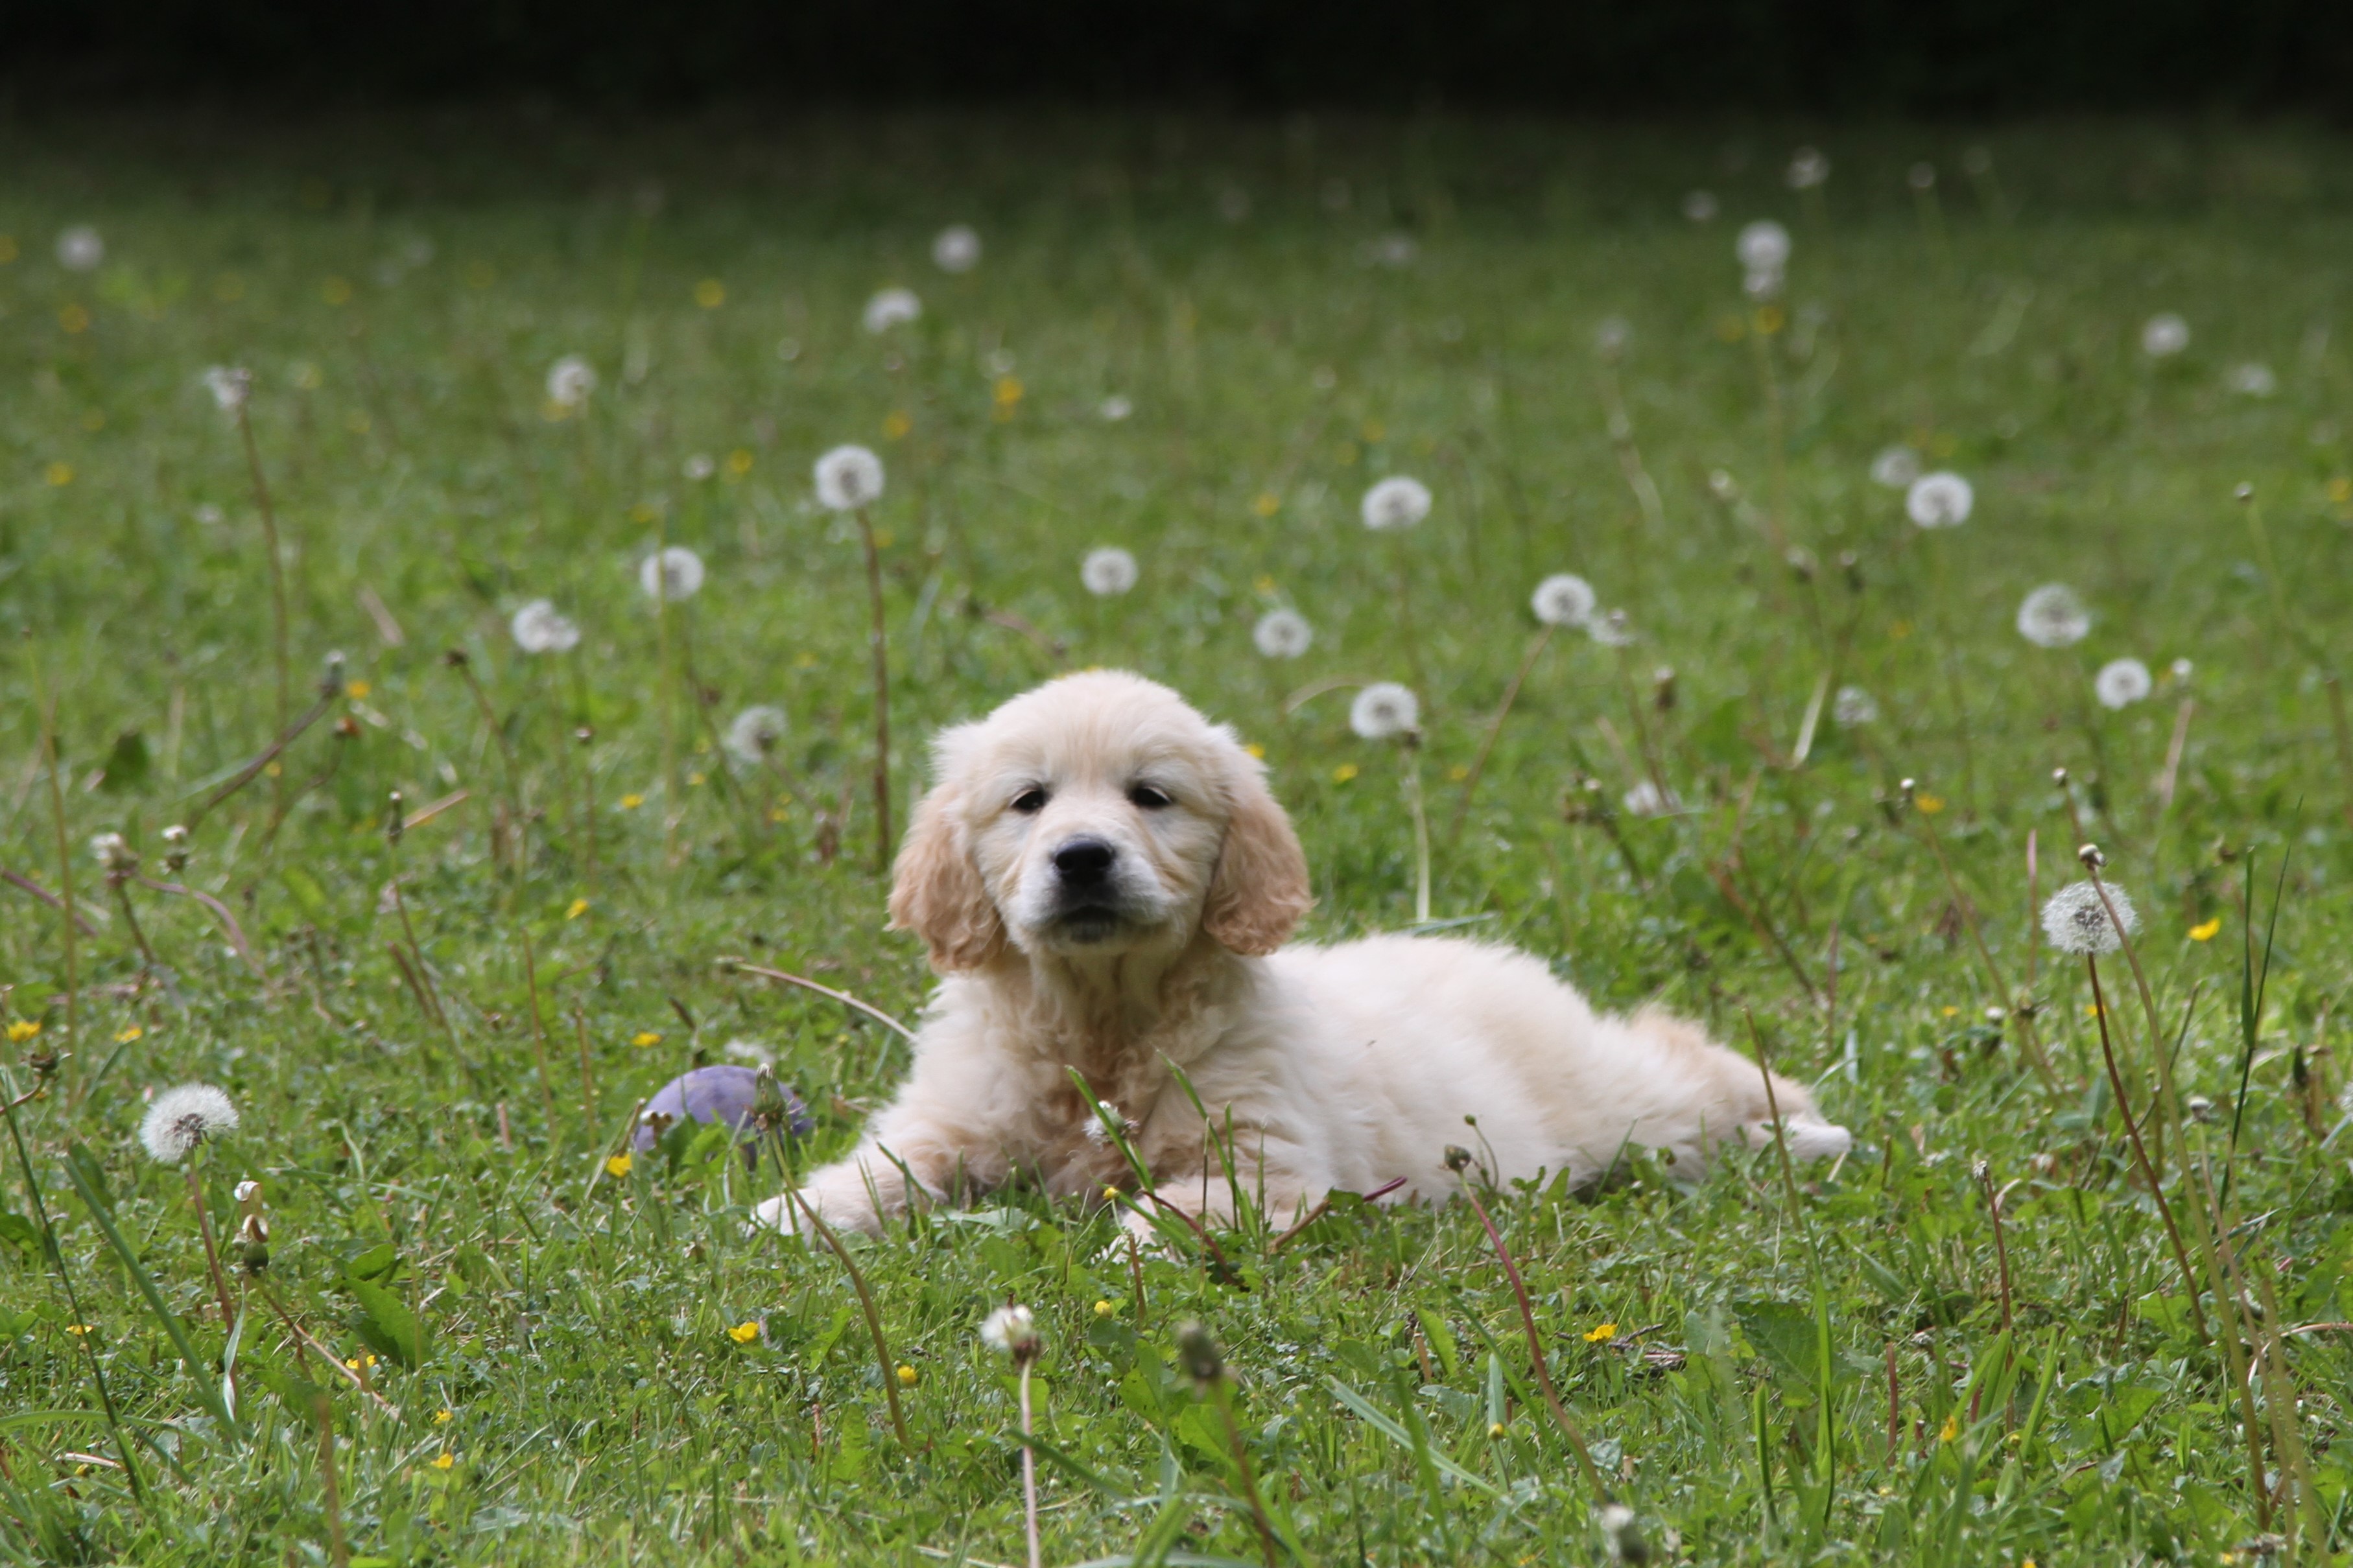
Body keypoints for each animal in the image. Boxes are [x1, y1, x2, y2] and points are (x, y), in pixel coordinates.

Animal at [753, 672, 1835, 1241]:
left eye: (1151, 795)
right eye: (1029, 800)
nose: (1083, 856)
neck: (1105, 1018)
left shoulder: (1262, 1161)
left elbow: (1173, 1207)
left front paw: (1131, 1247)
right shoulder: (950, 1118)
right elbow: (889, 1166)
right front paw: (794, 1211)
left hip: (1619, 1109)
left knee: (1680, 1059)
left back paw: (1804, 1126)